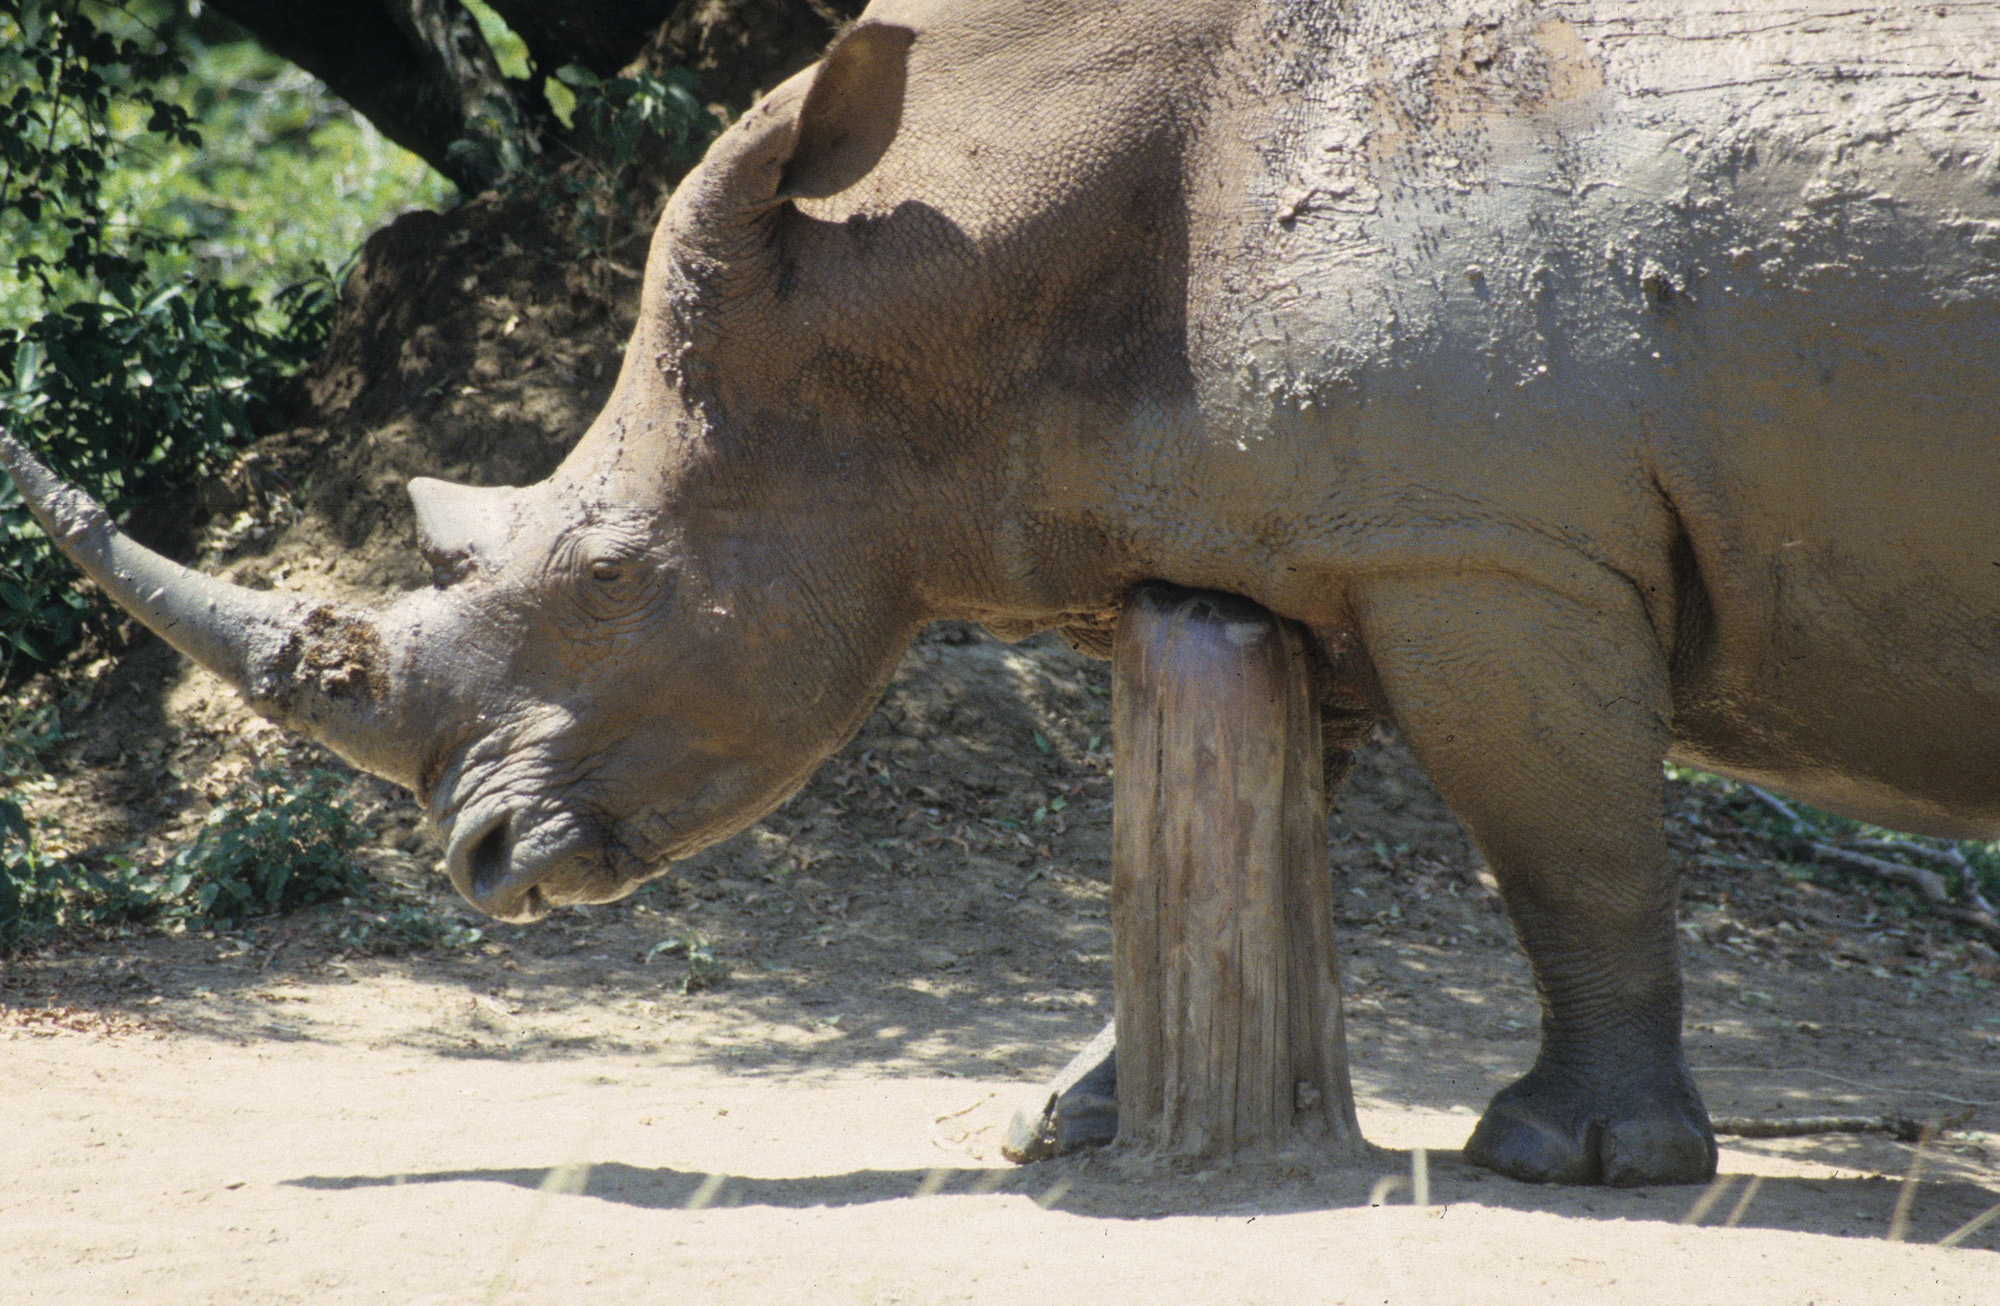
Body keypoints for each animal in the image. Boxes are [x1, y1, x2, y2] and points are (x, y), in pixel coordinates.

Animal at [9, 0, 2000, 1187]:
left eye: (616, 578)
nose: (481, 865)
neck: (960, 275)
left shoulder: (1493, 552)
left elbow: (1564, 844)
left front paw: (1562, 1159)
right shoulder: (1325, 547)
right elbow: (1260, 834)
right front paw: (1074, 1117)